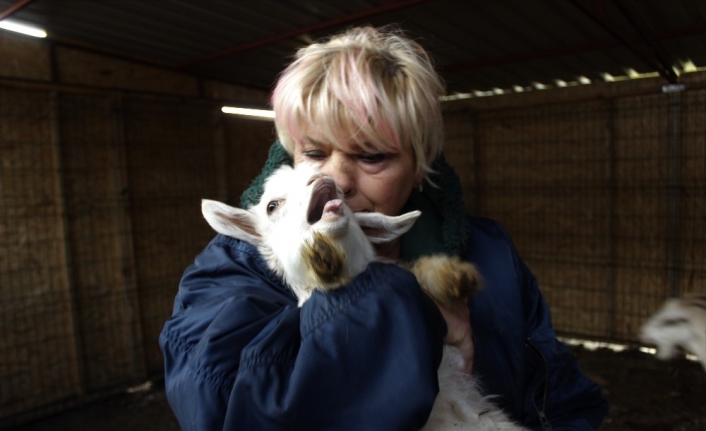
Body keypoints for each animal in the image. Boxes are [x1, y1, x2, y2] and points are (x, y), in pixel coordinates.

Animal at [201, 163, 524, 431]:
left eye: (340, 191)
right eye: (272, 206)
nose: (321, 179)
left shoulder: (455, 359)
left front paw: (453, 278)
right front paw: (324, 261)